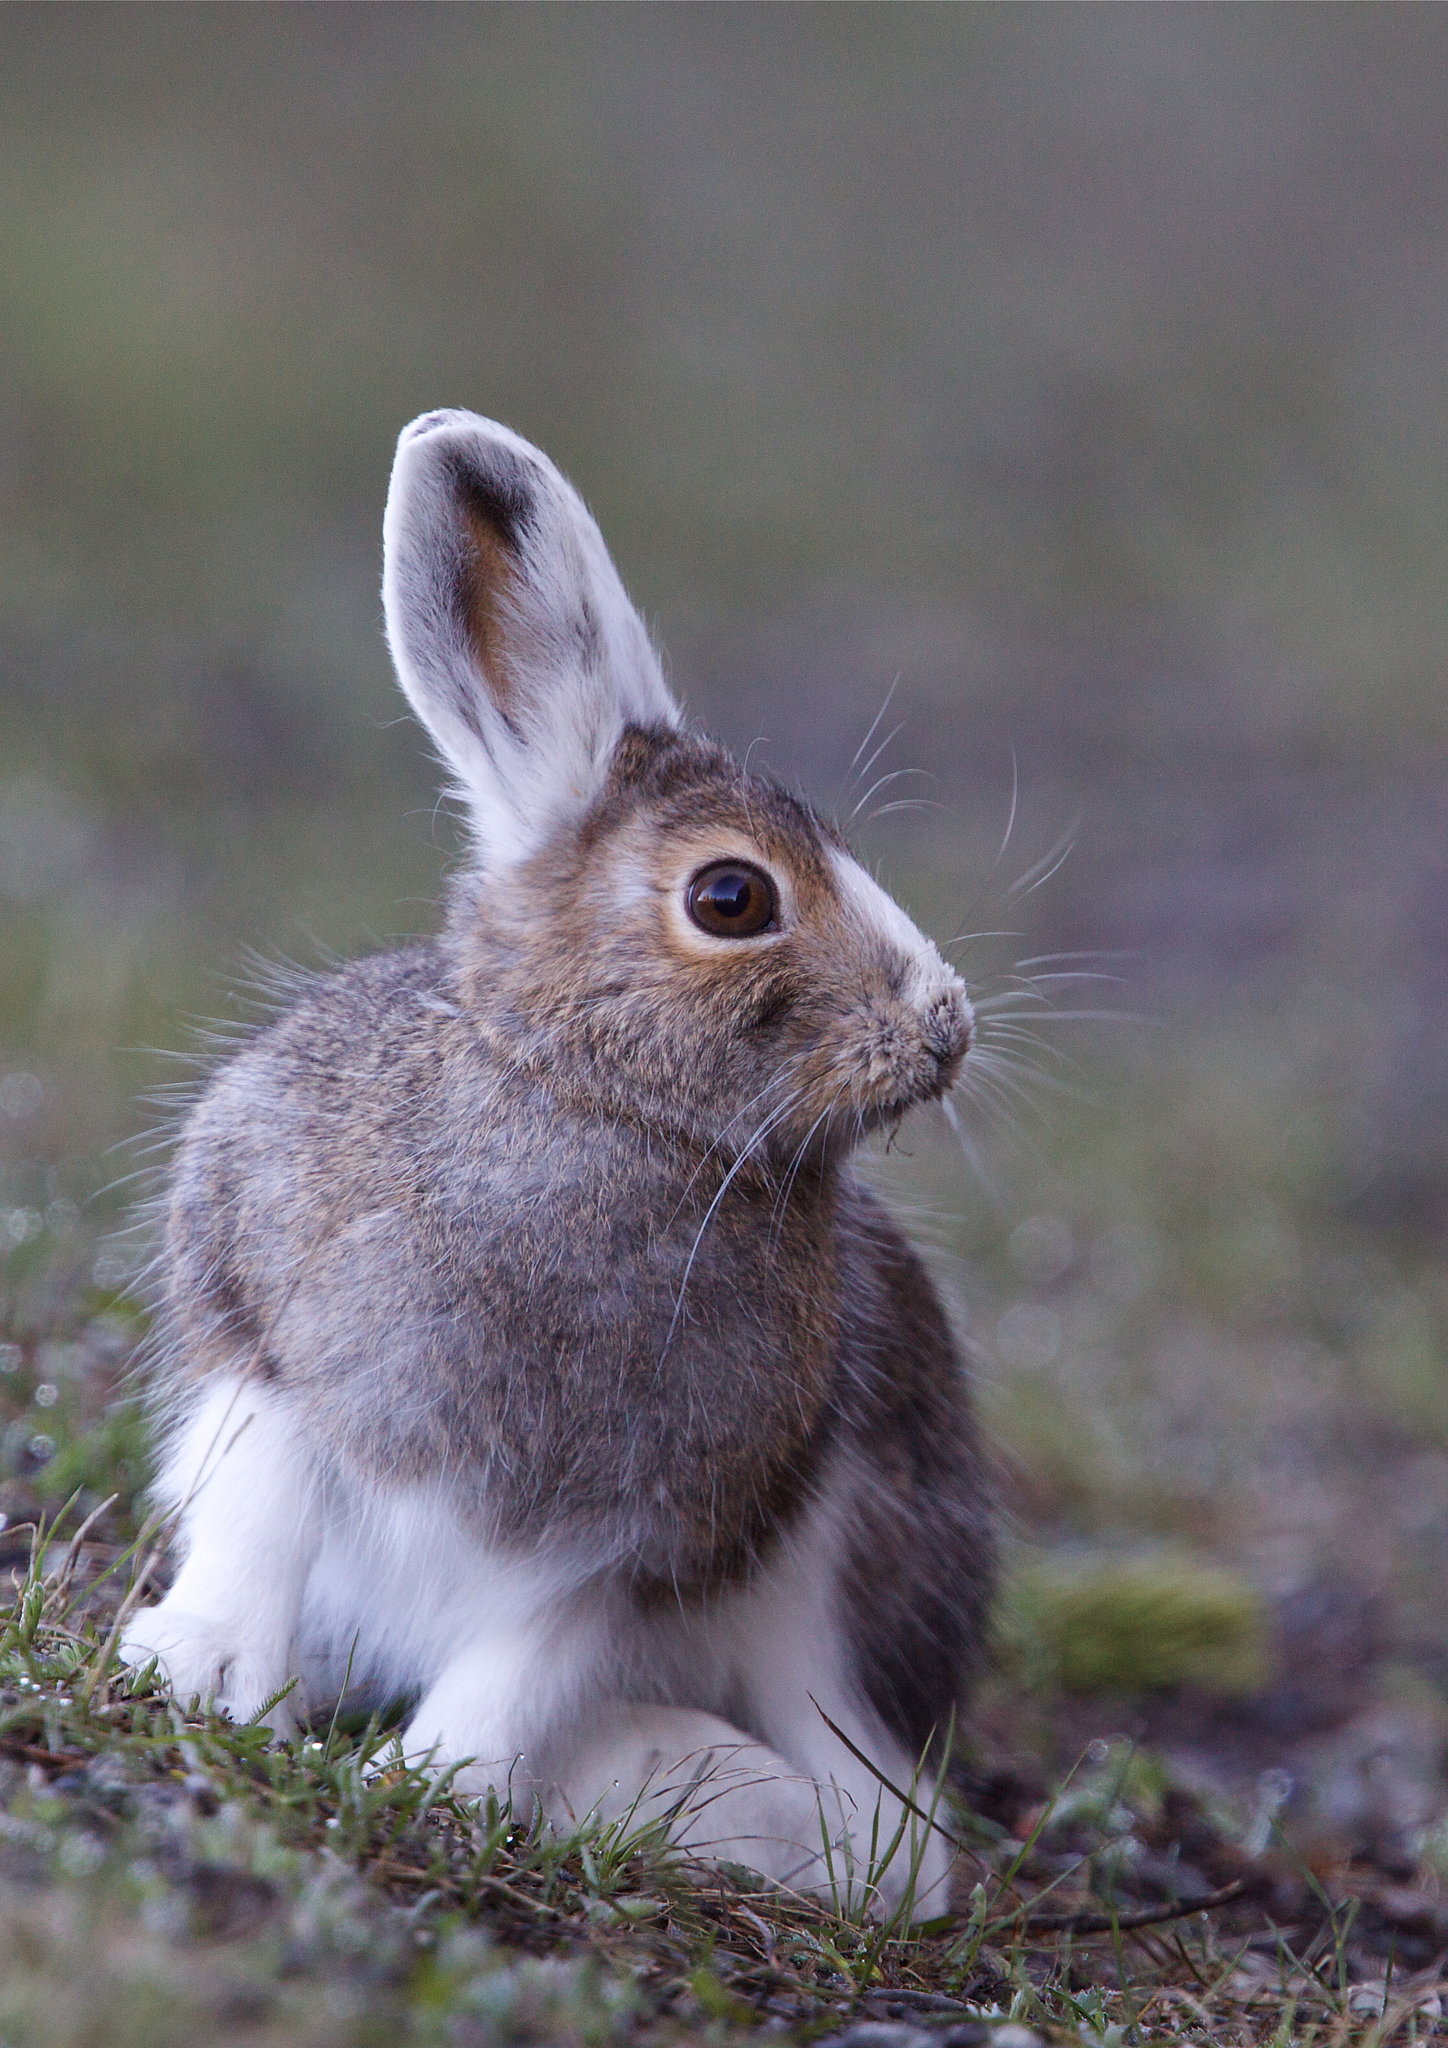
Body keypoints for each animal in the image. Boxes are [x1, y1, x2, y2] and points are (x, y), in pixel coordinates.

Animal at [120, 409, 995, 1918]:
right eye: (730, 896)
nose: (944, 1027)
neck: (597, 1108)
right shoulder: (266, 1335)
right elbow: (260, 1506)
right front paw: (201, 1666)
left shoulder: (656, 1532)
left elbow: (529, 1668)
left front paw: (432, 1784)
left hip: (832, 1588)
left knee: (888, 1846)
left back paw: (679, 1787)